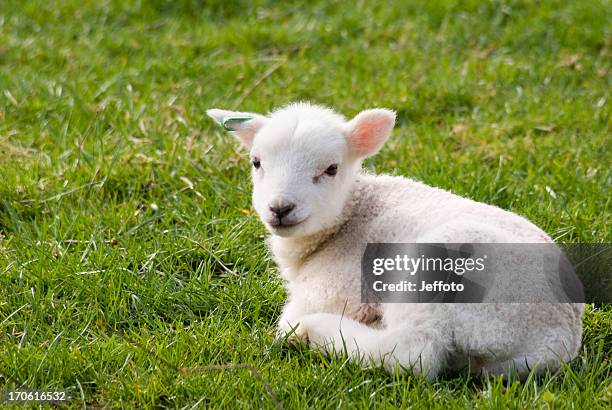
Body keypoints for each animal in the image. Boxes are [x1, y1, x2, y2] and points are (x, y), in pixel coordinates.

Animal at [207, 104, 584, 380]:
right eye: (256, 163)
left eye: (331, 169)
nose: (281, 208)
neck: (351, 215)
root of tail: (555, 340)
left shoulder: (331, 290)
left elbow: (288, 318)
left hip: (436, 274)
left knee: (413, 354)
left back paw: (317, 331)